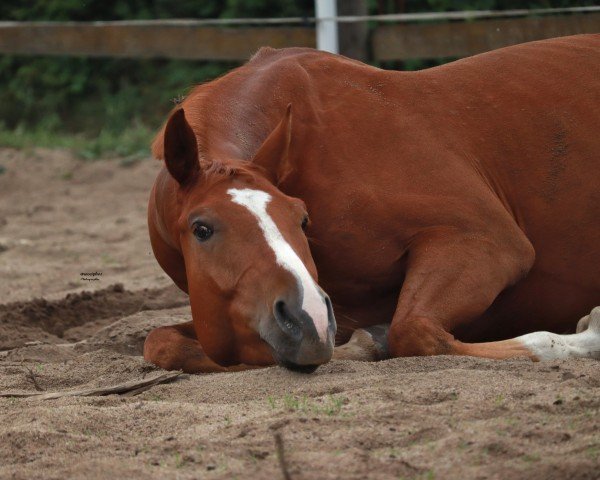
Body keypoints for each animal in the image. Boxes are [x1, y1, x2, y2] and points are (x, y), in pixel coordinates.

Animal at [144, 34, 600, 376]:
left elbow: (414, 331)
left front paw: (589, 336)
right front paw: (363, 342)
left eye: (302, 219)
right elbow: (161, 343)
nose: (307, 317)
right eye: (202, 229)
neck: (313, 140)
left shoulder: (487, 242)